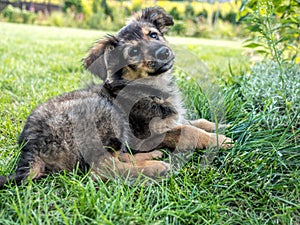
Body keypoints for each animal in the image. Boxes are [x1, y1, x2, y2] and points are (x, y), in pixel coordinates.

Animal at [0, 7, 232, 188]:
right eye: (134, 52)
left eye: (154, 35)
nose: (163, 52)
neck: (152, 86)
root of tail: (31, 147)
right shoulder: (147, 134)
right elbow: (188, 131)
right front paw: (218, 140)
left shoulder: (169, 120)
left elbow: (195, 122)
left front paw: (221, 126)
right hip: (105, 113)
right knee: (103, 169)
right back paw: (156, 168)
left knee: (117, 156)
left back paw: (151, 157)